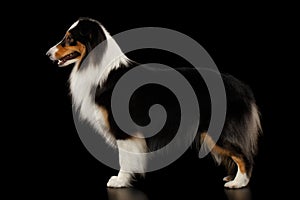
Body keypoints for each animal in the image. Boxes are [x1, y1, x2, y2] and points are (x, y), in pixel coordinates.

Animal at [45, 17, 262, 189]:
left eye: (69, 39)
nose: (47, 54)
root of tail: (242, 87)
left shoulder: (124, 131)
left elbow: (124, 159)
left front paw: (120, 181)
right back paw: (231, 177)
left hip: (220, 131)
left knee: (245, 156)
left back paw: (238, 183)